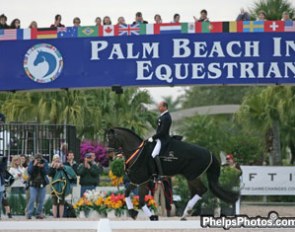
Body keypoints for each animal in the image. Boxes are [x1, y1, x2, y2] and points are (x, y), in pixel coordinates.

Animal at [107, 128, 240, 220]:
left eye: (111, 139)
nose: (109, 156)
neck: (138, 153)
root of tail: (210, 153)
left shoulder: (143, 180)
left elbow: (139, 200)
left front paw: (150, 216)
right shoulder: (139, 181)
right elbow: (127, 194)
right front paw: (134, 213)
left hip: (191, 176)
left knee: (201, 190)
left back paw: (185, 214)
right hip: (192, 177)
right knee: (196, 192)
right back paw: (187, 213)